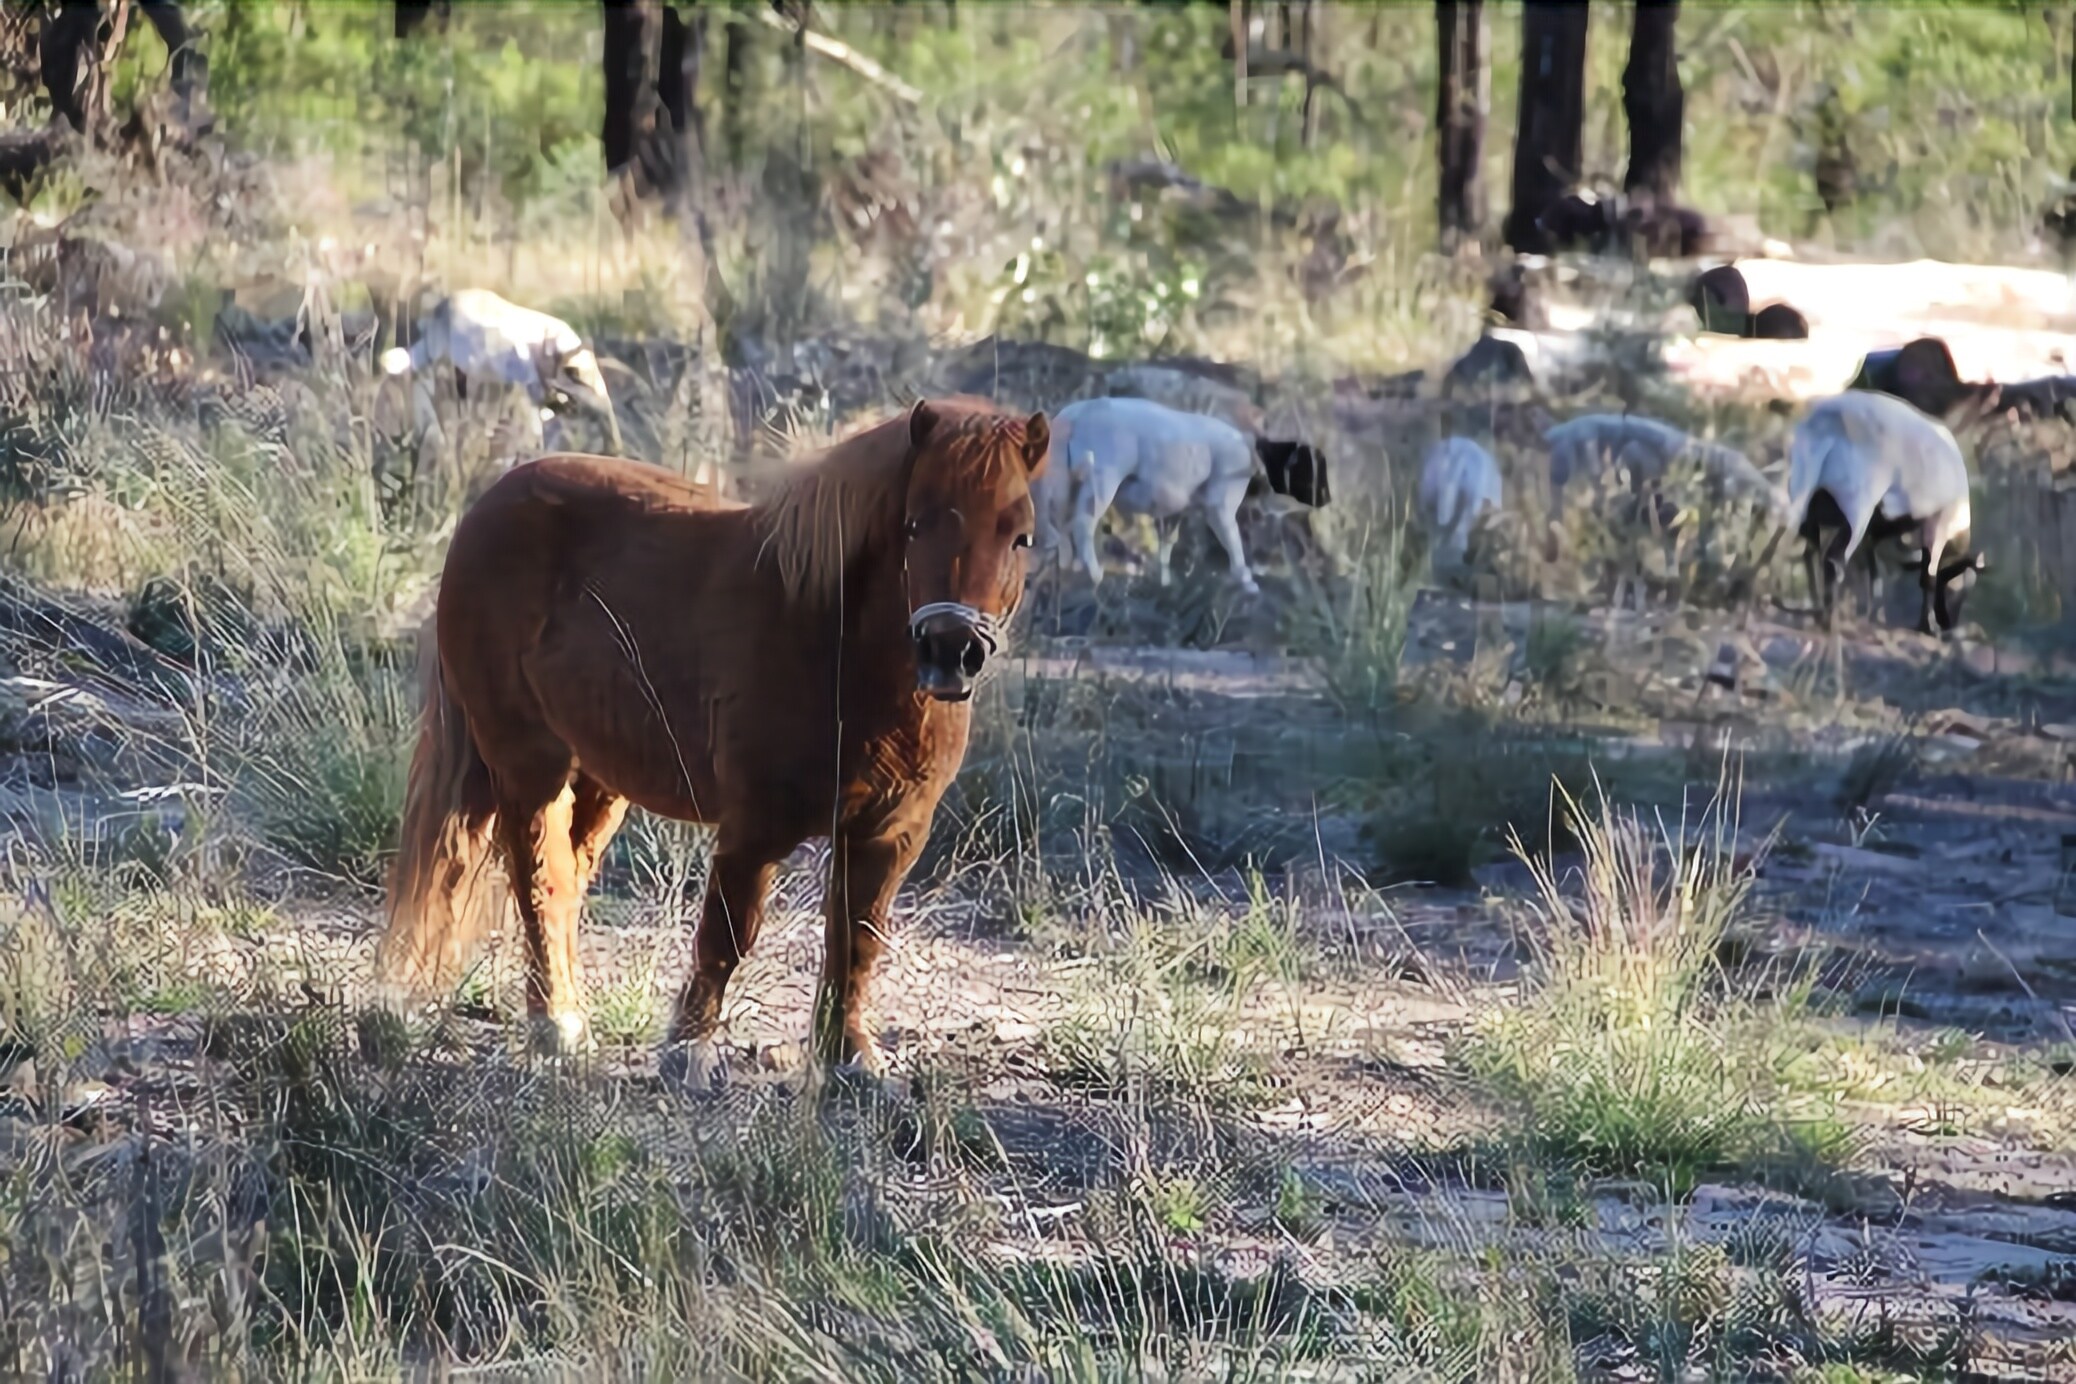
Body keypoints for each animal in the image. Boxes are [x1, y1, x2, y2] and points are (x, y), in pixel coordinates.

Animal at [373, 394, 1046, 1087]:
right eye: (915, 525)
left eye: (1021, 535)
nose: (950, 651)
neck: (832, 643)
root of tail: (487, 507)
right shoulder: (756, 825)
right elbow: (729, 931)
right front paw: (687, 1050)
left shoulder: (890, 834)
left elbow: (856, 939)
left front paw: (851, 1056)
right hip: (528, 761)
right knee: (540, 882)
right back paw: (557, 1027)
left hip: (598, 779)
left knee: (565, 880)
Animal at [1033, 398, 1336, 597]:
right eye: (1310, 472)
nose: (1327, 500)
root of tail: (1075, 413)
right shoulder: (1220, 505)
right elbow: (1233, 540)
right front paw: (1246, 580)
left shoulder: (1177, 510)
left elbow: (1168, 543)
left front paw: (1165, 581)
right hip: (1102, 479)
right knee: (1082, 524)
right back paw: (1094, 573)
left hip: (1066, 482)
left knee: (1062, 525)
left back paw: (1068, 568)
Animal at [1785, 383, 1976, 634]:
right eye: (1959, 593)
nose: (1949, 626)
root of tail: (1826, 421)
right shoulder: (1937, 524)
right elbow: (1928, 576)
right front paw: (1927, 626)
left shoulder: (1874, 533)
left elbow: (1875, 574)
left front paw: (1874, 615)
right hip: (1858, 506)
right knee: (1834, 560)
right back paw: (1829, 620)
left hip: (1809, 500)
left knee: (1810, 552)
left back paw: (1818, 613)